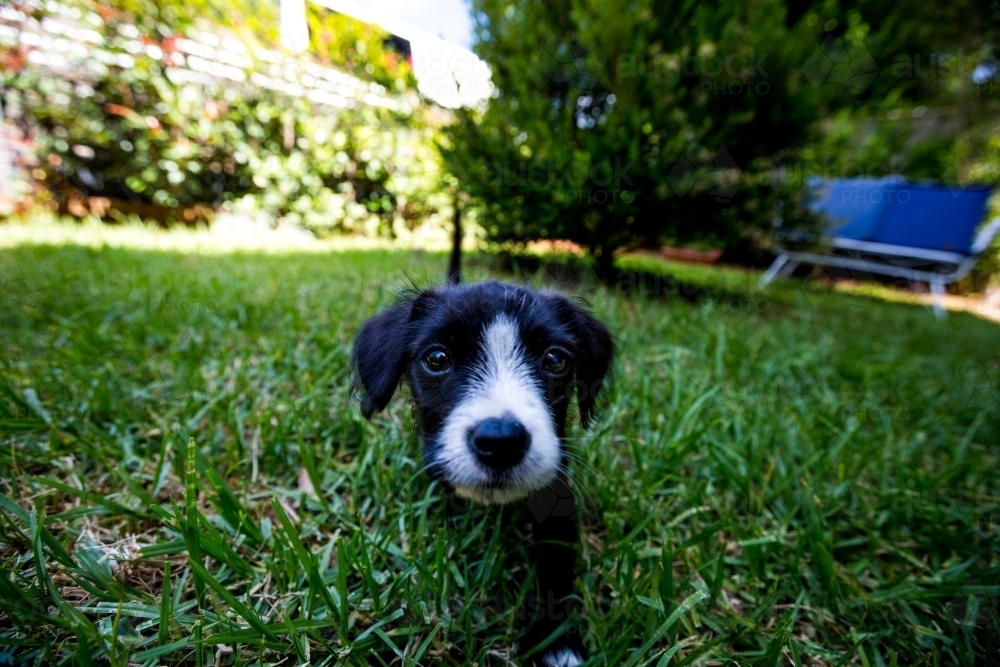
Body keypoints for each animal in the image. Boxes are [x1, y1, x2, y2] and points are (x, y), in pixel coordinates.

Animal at [352, 280, 616, 664]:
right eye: (436, 359)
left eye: (555, 360)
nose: (501, 441)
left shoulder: (558, 494)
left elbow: (555, 562)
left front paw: (553, 640)